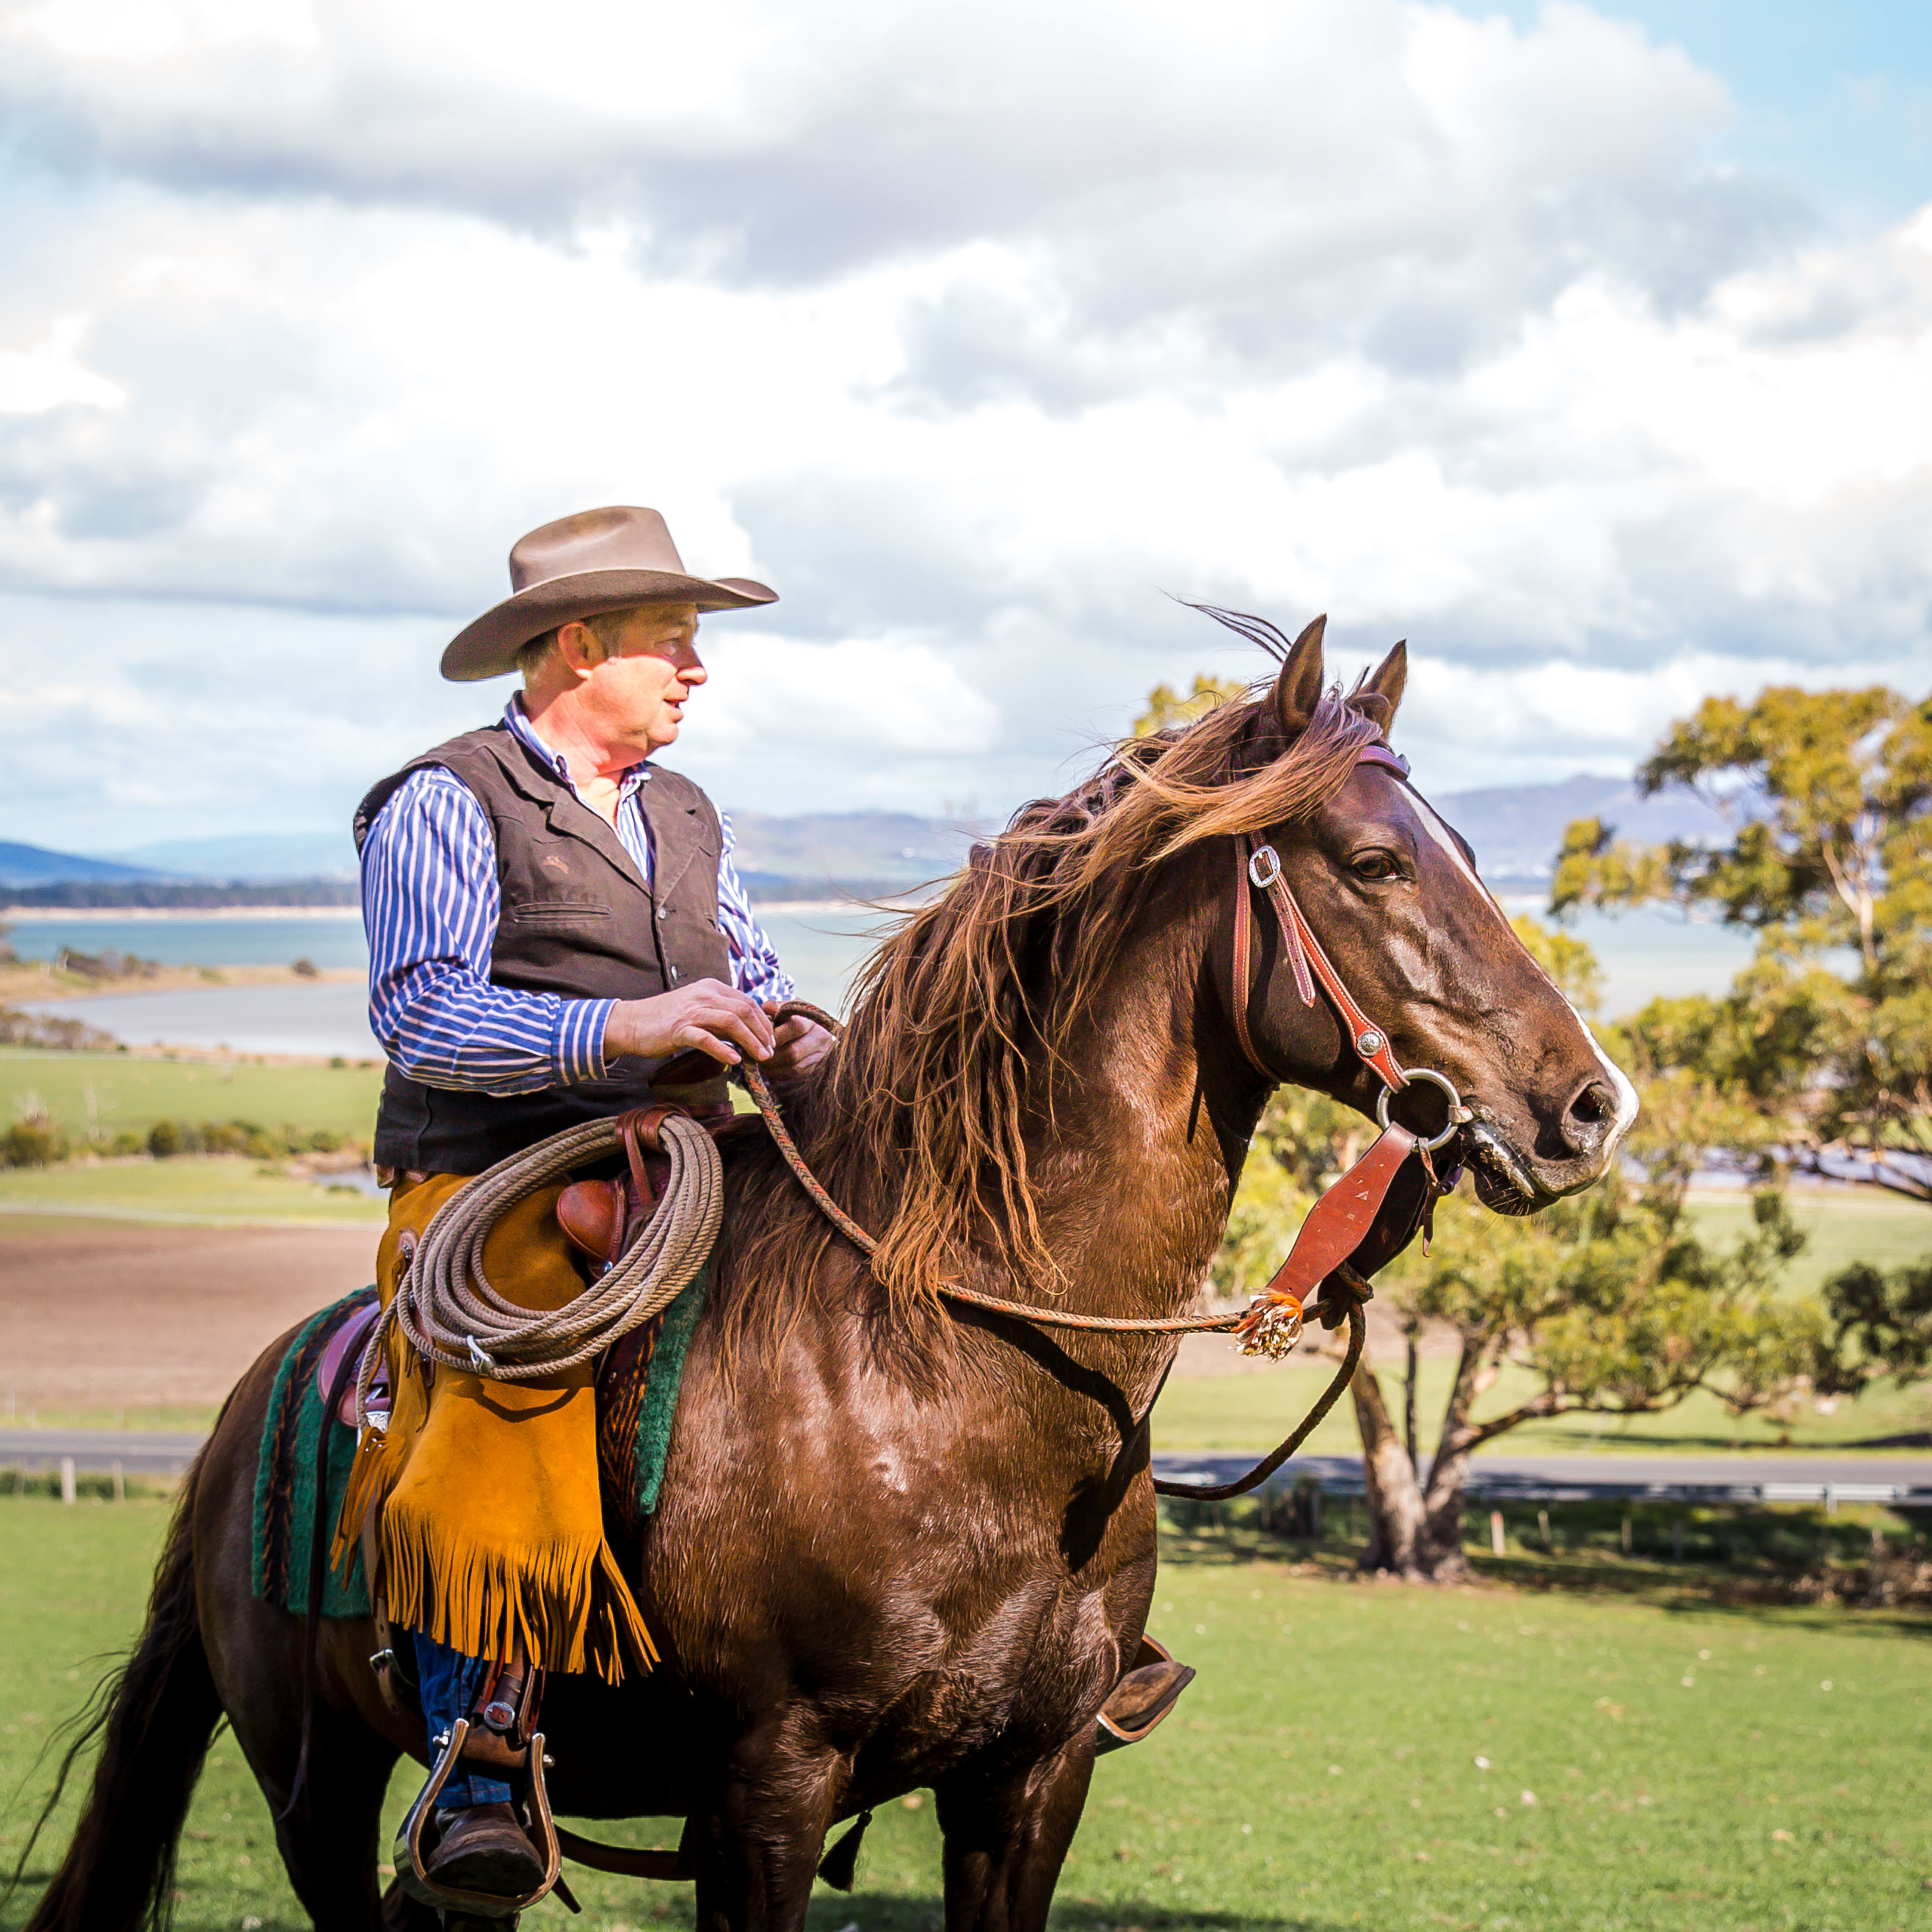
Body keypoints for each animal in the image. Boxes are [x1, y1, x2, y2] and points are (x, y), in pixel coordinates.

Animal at [26, 614, 1630, 1932]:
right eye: (1372, 863)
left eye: (1465, 851)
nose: (1587, 1106)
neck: (950, 1366)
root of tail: (249, 1410)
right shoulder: (767, 1786)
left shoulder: (1029, 1781)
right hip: (317, 1785)